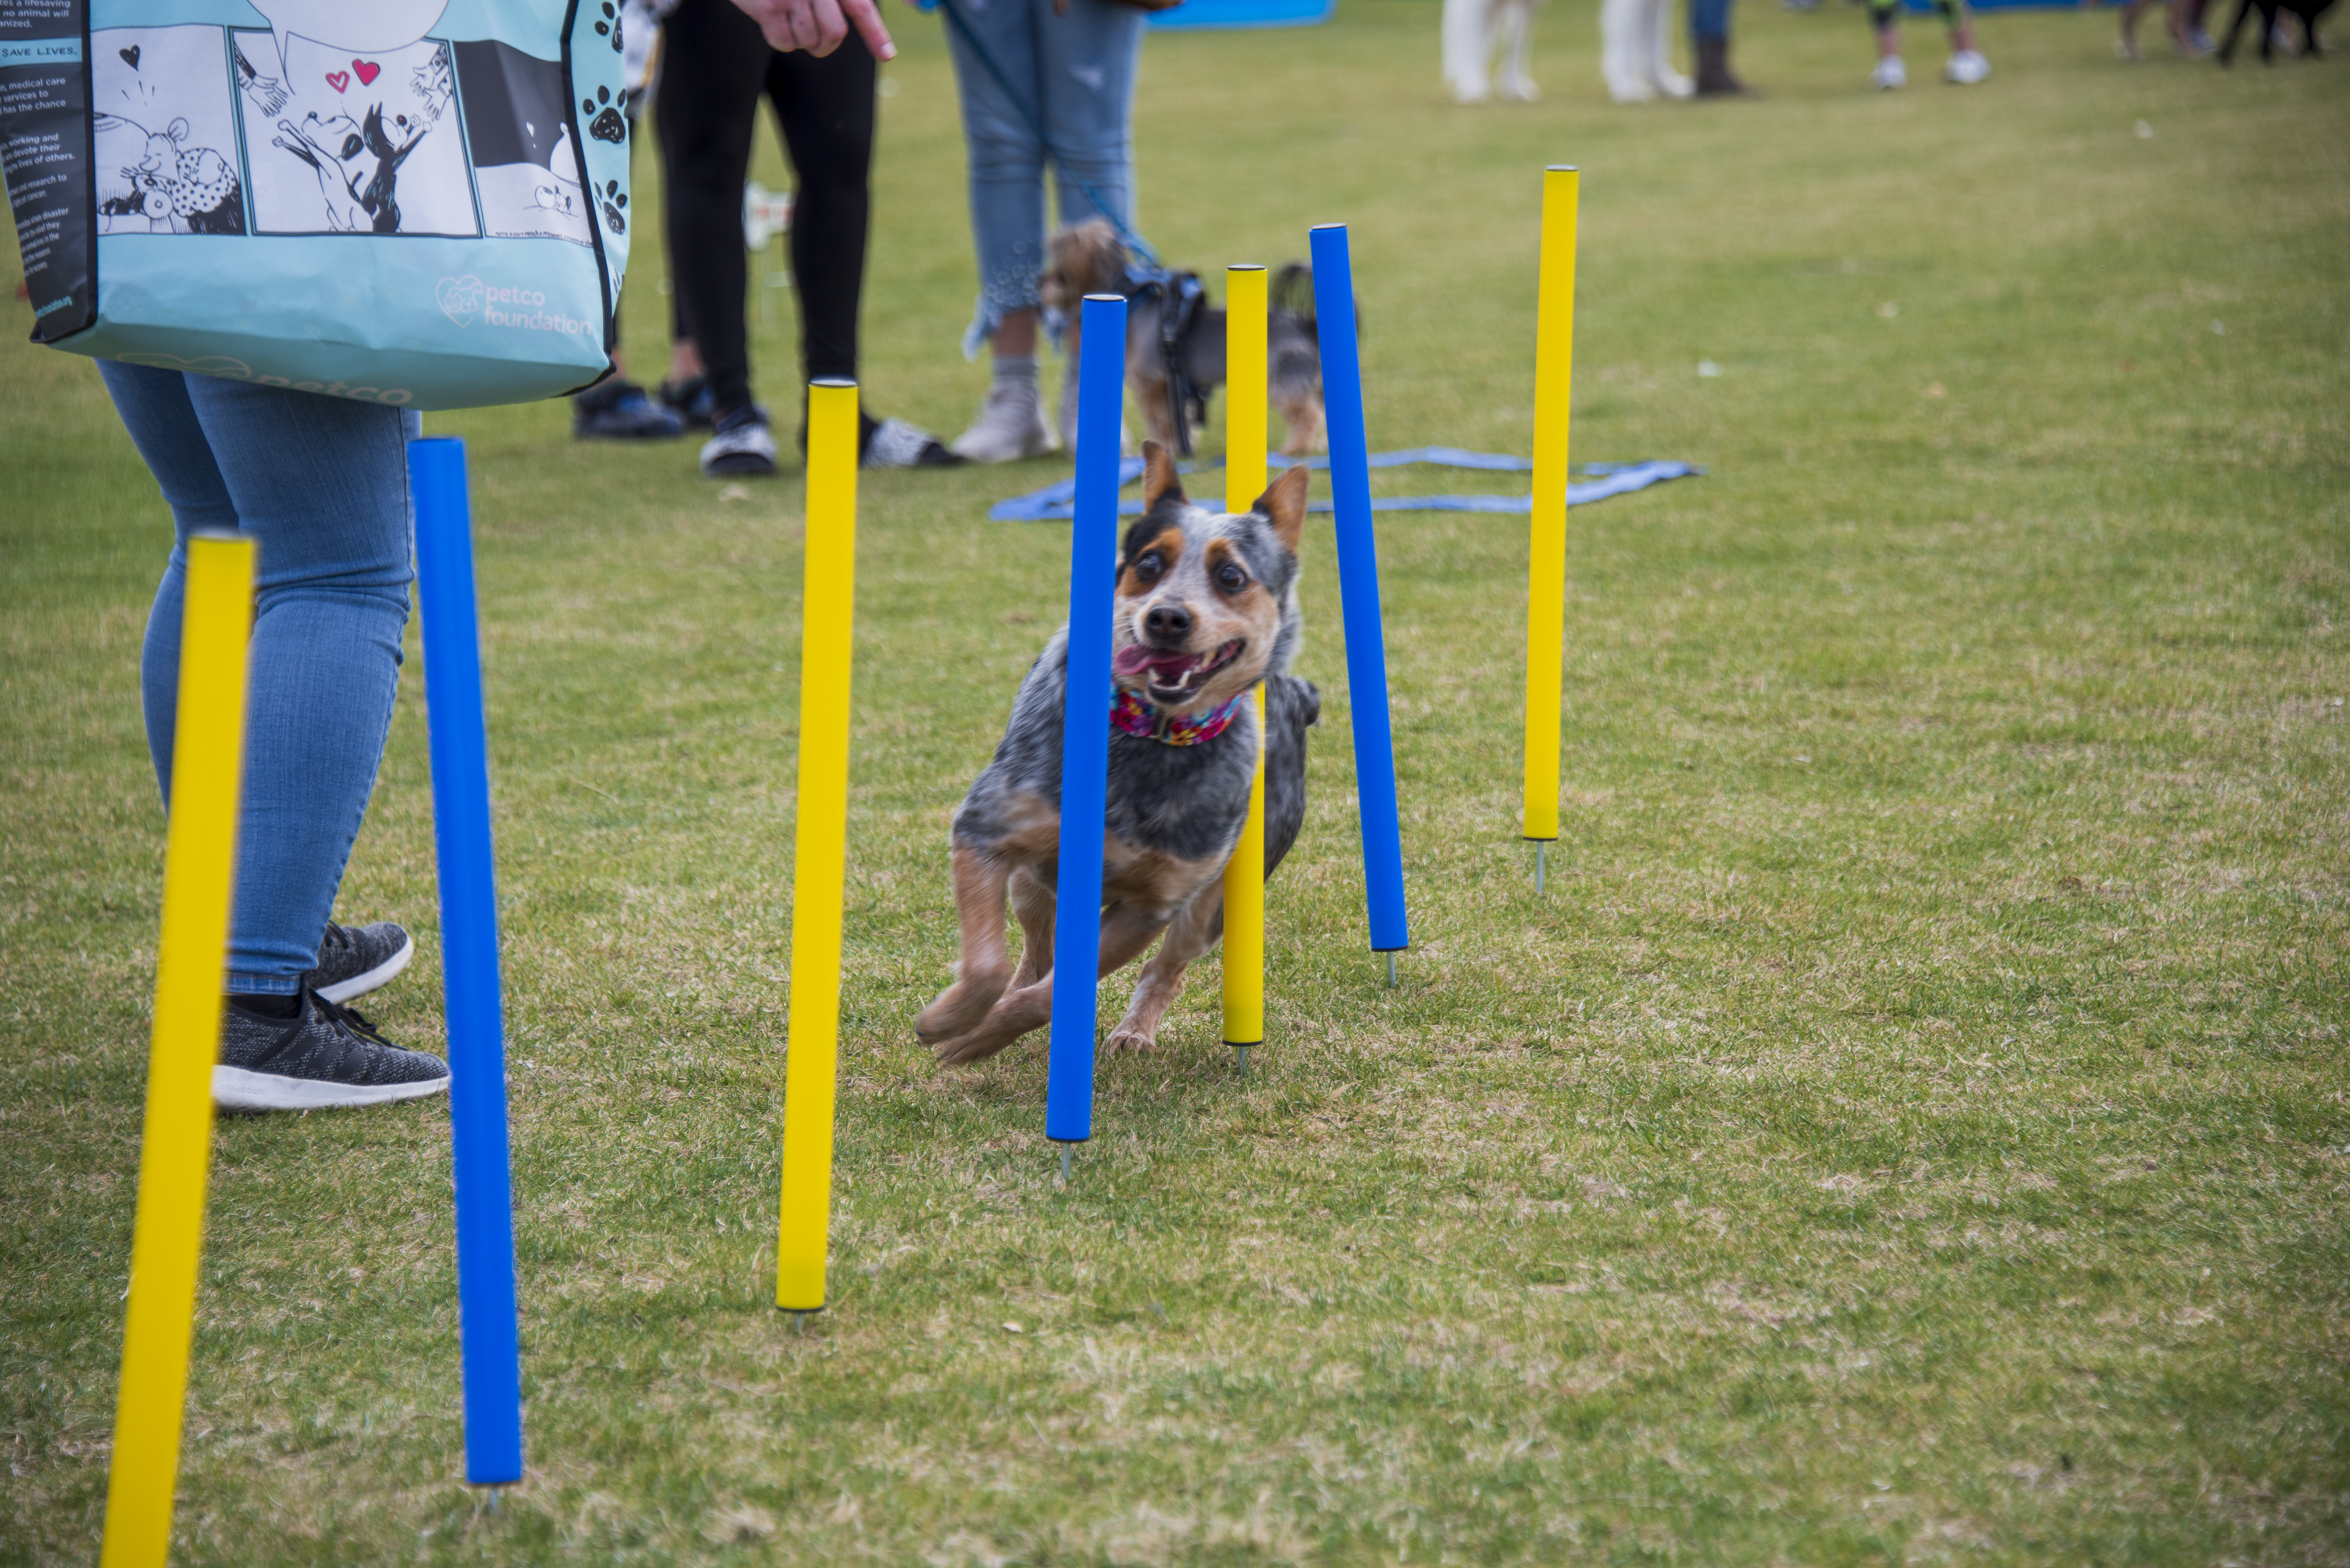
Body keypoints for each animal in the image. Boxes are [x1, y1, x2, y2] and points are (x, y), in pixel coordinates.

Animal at [916, 435, 1325, 1062]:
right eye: (1149, 564)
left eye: (1231, 575)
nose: (1167, 617)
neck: (1153, 738)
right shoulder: (987, 830)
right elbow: (989, 968)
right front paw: (949, 1023)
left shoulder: (1151, 905)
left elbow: (1049, 996)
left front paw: (984, 1034)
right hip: (1033, 883)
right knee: (1036, 951)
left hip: (1215, 903)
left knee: (1166, 968)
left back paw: (1135, 1031)